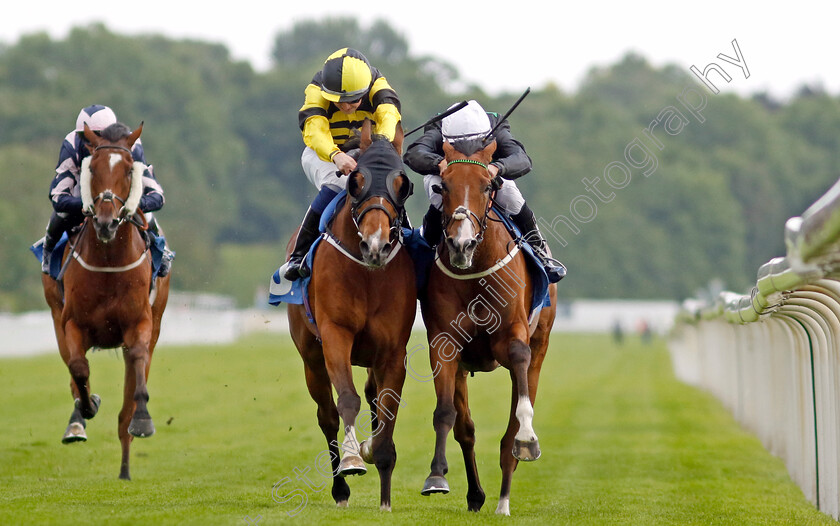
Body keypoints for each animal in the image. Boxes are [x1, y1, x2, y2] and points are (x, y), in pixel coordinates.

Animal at [41, 120, 171, 482]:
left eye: (128, 169)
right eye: (93, 168)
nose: (105, 221)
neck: (110, 264)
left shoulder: (139, 324)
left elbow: (137, 364)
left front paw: (143, 419)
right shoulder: (72, 323)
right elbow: (78, 369)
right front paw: (86, 409)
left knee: (128, 401)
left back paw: (126, 467)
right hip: (55, 314)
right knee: (73, 370)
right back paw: (78, 422)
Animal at [288, 118, 418, 512]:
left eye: (402, 184)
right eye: (356, 181)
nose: (375, 246)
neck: (368, 274)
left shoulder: (392, 350)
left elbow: (387, 409)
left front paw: (385, 489)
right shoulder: (335, 335)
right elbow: (346, 399)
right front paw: (352, 459)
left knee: (373, 393)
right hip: (311, 359)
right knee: (327, 416)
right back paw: (340, 488)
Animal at [420, 139, 556, 516]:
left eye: (486, 186)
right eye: (443, 186)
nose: (461, 243)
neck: (474, 271)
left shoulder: (513, 337)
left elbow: (519, 369)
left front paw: (527, 439)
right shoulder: (445, 343)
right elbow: (446, 413)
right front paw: (436, 476)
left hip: (541, 344)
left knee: (511, 432)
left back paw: (503, 500)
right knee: (466, 430)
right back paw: (477, 495)